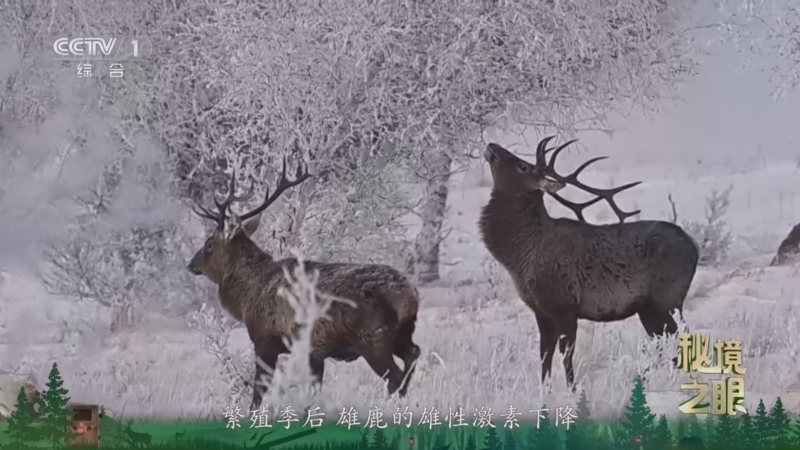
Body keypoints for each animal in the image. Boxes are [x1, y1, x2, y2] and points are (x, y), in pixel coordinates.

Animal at [187, 158, 421, 409]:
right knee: (413, 355)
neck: (247, 296)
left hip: (374, 338)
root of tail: (410, 294)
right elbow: (314, 389)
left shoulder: (266, 337)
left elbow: (259, 389)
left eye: (209, 244)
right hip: (402, 333)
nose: (191, 264)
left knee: (395, 377)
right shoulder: (315, 352)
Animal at [479, 137, 699, 390]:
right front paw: (545, 391)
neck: (521, 257)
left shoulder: (565, 305)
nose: (492, 146)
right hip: (648, 308)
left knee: (682, 339)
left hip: (668, 299)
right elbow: (545, 355)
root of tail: (695, 248)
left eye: (522, 166)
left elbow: (566, 355)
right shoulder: (540, 310)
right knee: (666, 345)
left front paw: (573, 391)